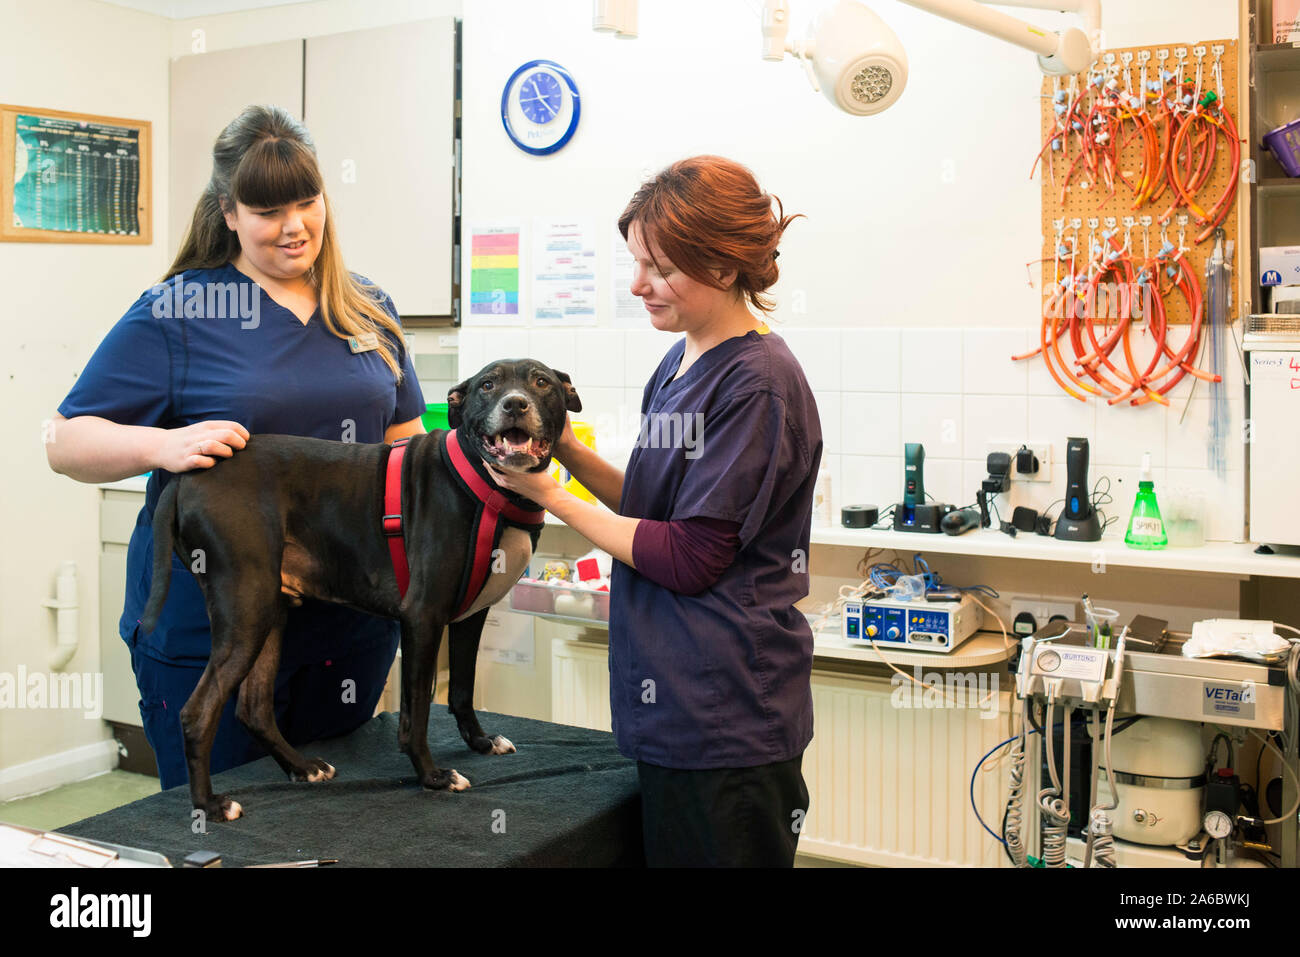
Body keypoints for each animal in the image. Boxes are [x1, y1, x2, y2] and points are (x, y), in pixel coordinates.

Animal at [139, 358, 582, 821]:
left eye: (541, 382)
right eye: (488, 385)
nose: (515, 404)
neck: (484, 484)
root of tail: (190, 476)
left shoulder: (470, 616)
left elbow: (462, 689)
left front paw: (479, 742)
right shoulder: (423, 617)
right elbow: (415, 712)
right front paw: (432, 776)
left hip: (267, 611)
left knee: (253, 708)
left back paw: (302, 767)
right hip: (246, 609)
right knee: (197, 712)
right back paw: (209, 805)